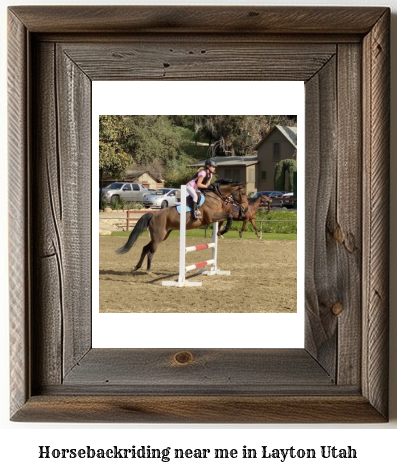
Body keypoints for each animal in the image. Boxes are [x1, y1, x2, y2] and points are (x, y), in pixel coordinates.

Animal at [115, 179, 248, 272]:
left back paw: (137, 267)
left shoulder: (216, 217)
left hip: (163, 236)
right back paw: (148, 270)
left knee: (145, 248)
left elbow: (227, 217)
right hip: (158, 237)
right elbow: (229, 216)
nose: (245, 209)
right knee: (150, 252)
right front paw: (222, 231)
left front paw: (219, 232)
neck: (215, 196)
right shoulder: (211, 217)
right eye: (242, 193)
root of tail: (154, 215)